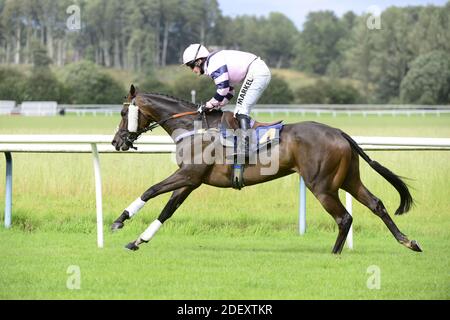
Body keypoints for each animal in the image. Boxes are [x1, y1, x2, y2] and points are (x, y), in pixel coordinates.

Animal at [110, 84, 422, 254]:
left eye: (124, 112)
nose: (116, 141)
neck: (193, 128)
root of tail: (339, 132)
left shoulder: (188, 174)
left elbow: (150, 190)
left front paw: (119, 220)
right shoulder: (191, 180)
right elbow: (167, 210)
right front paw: (138, 240)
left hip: (321, 185)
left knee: (344, 218)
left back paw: (334, 254)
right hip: (348, 179)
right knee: (377, 204)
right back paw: (408, 241)